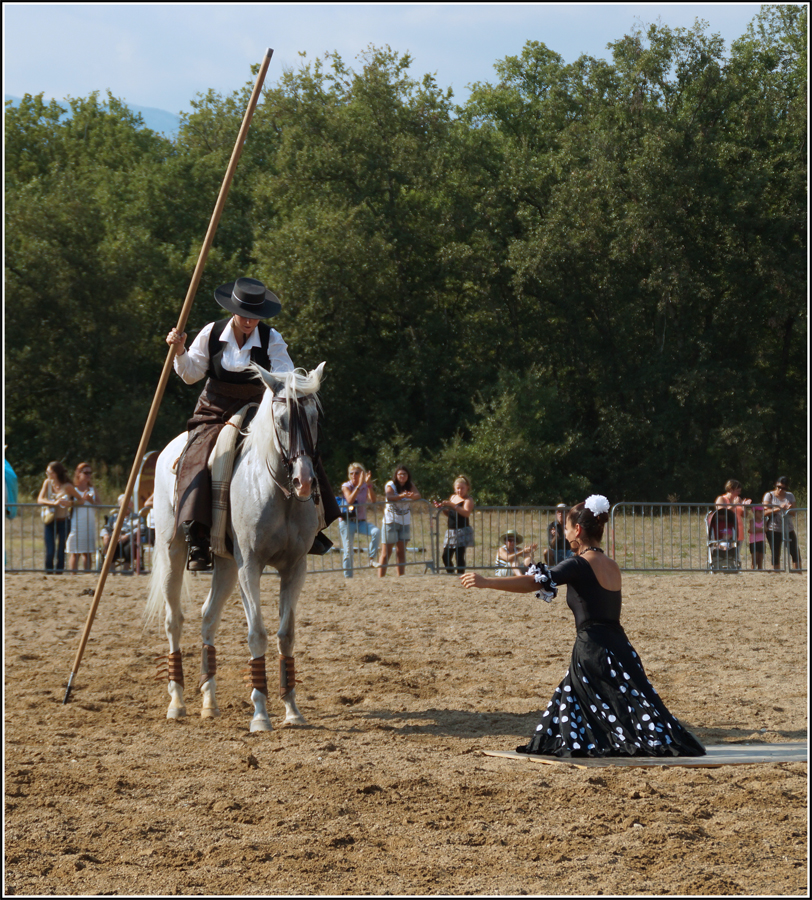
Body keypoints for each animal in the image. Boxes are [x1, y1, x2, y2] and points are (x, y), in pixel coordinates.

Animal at [144, 362, 326, 728]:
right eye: (281, 419)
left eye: (314, 417)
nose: (304, 481)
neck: (277, 491)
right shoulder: (251, 565)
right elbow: (257, 633)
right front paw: (260, 714)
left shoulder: (295, 567)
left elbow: (286, 634)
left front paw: (292, 710)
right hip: (173, 552)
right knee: (174, 620)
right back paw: (177, 703)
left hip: (227, 566)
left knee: (208, 618)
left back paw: (209, 703)